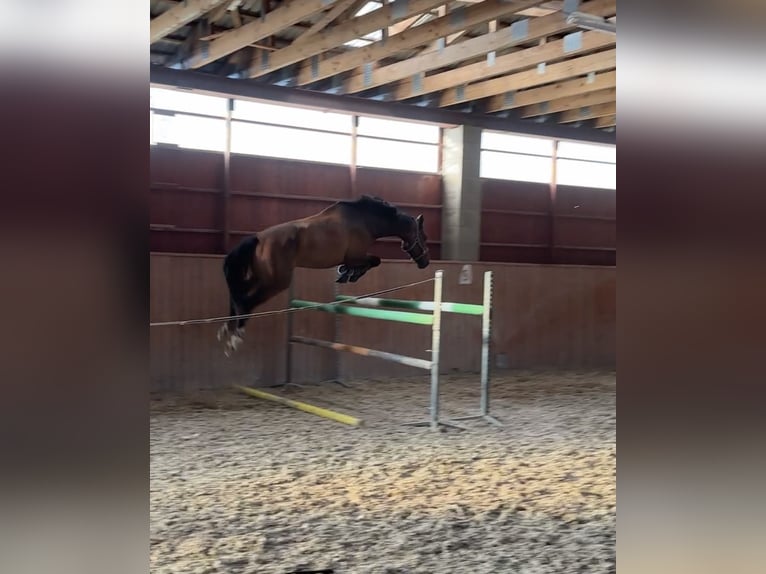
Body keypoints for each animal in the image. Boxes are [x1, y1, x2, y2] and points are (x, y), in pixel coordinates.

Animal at [216, 197, 432, 356]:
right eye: (424, 237)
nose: (425, 262)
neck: (366, 221)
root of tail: (258, 239)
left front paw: (345, 273)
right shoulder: (355, 255)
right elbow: (374, 261)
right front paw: (350, 274)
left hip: (258, 278)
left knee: (237, 296)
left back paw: (228, 331)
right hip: (276, 282)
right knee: (245, 301)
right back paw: (235, 336)